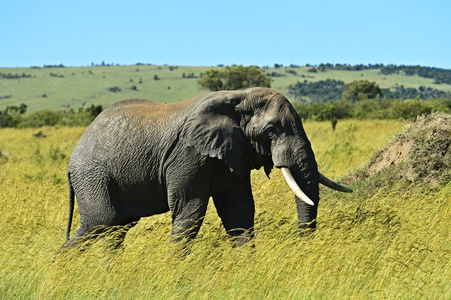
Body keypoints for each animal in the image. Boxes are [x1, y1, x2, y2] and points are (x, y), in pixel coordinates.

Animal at [64, 87, 354, 248]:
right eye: (271, 131)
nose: (303, 248)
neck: (239, 97)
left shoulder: (234, 154)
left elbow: (239, 211)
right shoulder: (187, 155)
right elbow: (189, 211)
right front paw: (174, 271)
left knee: (117, 229)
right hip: (93, 176)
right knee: (100, 222)